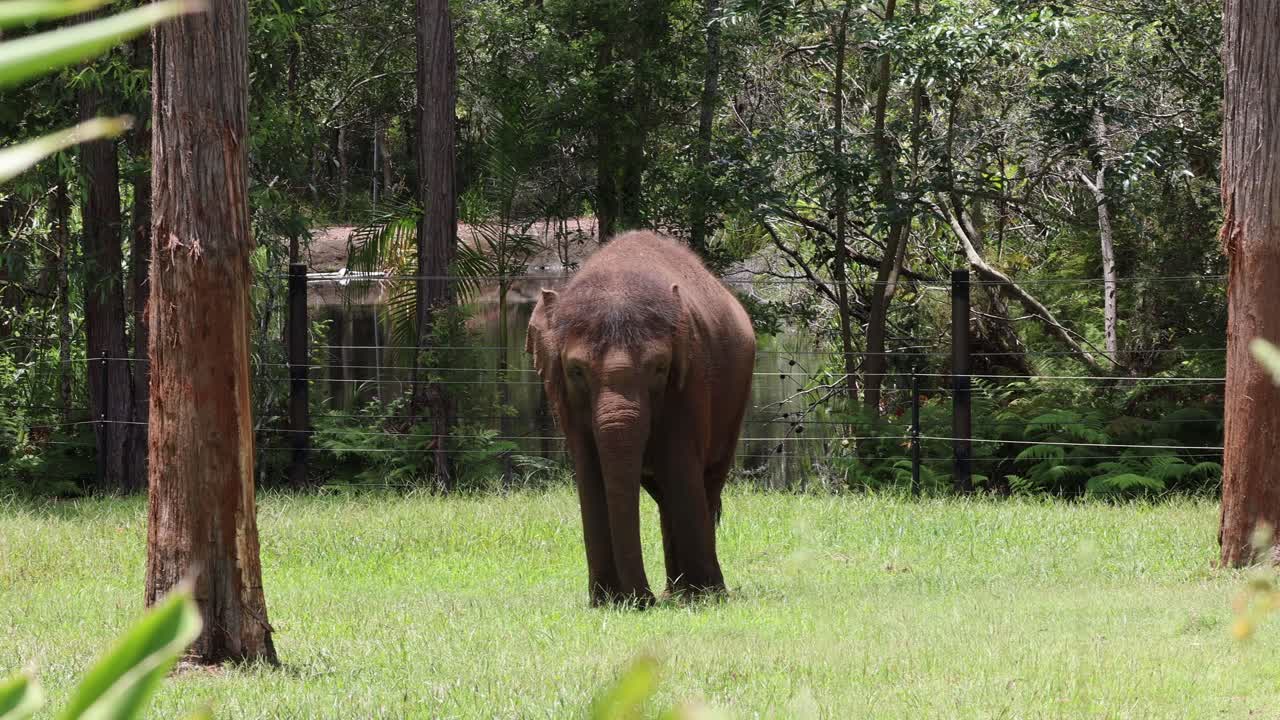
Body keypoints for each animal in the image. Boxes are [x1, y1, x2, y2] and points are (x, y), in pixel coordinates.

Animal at [525, 230, 756, 607]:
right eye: (576, 371)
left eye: (659, 368)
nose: (641, 600)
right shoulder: (563, 397)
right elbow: (590, 473)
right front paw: (606, 602)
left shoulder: (691, 378)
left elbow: (680, 463)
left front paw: (702, 598)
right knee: (663, 495)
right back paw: (674, 592)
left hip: (736, 399)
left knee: (704, 482)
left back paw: (699, 592)